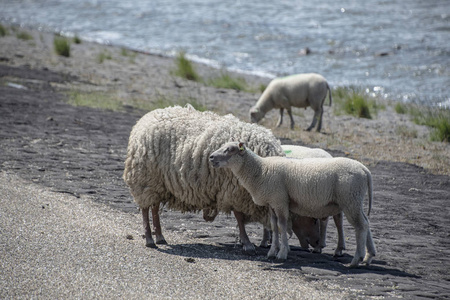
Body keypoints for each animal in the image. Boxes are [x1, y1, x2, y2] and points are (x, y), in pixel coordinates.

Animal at [122, 105, 284, 253]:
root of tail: (147, 117)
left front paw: (260, 240)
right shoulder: (235, 191)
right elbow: (239, 217)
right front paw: (247, 242)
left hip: (158, 183)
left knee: (154, 207)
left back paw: (160, 237)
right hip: (144, 178)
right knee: (145, 209)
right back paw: (150, 239)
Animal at [211, 142, 376, 268]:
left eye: (229, 149)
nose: (211, 157)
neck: (261, 170)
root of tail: (365, 170)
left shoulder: (280, 200)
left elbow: (282, 225)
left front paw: (282, 253)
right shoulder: (272, 203)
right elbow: (274, 226)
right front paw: (272, 251)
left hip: (350, 199)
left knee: (360, 226)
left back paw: (356, 260)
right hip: (354, 200)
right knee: (366, 223)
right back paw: (368, 257)